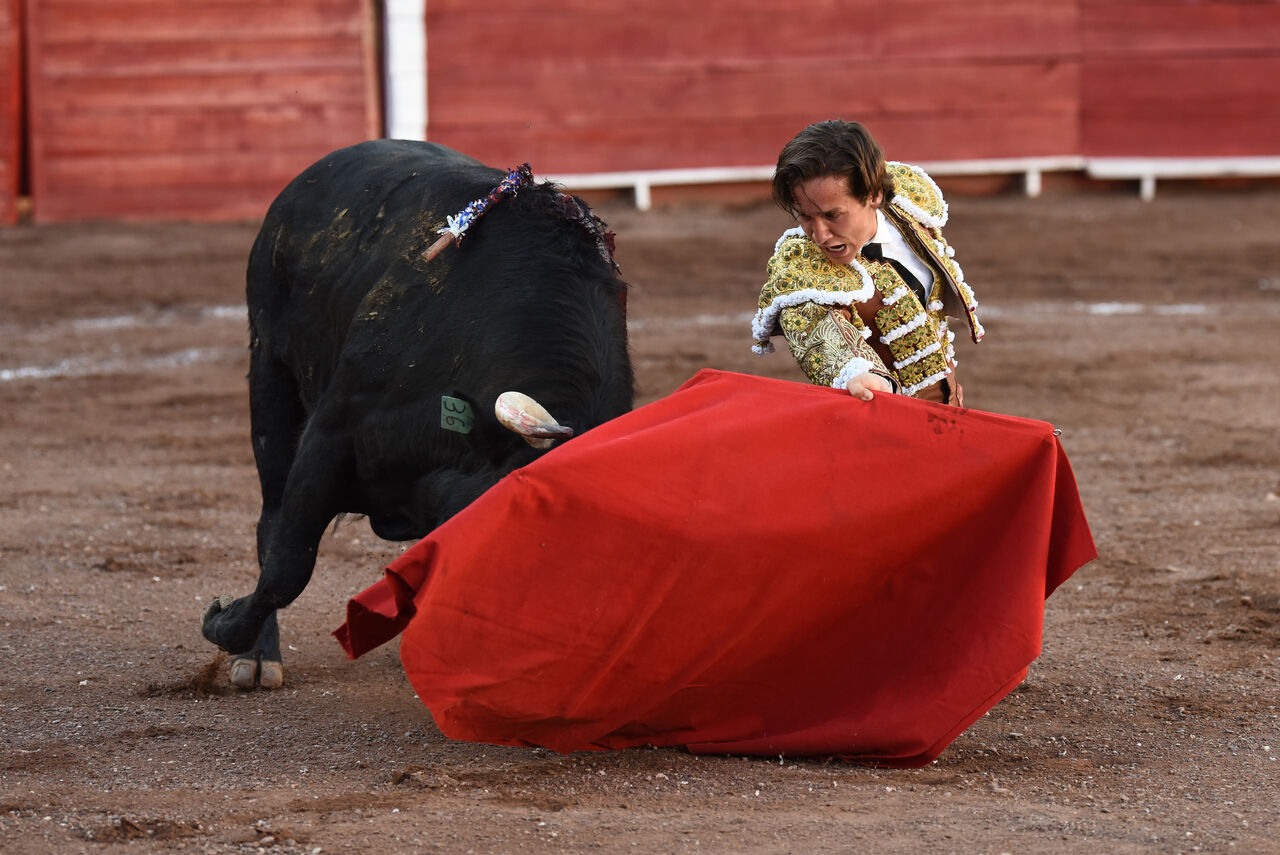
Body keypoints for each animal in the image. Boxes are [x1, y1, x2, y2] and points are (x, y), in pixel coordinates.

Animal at [199, 140, 634, 686]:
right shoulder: (333, 433)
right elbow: (288, 564)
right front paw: (223, 624)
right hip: (270, 375)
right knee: (271, 516)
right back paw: (258, 658)